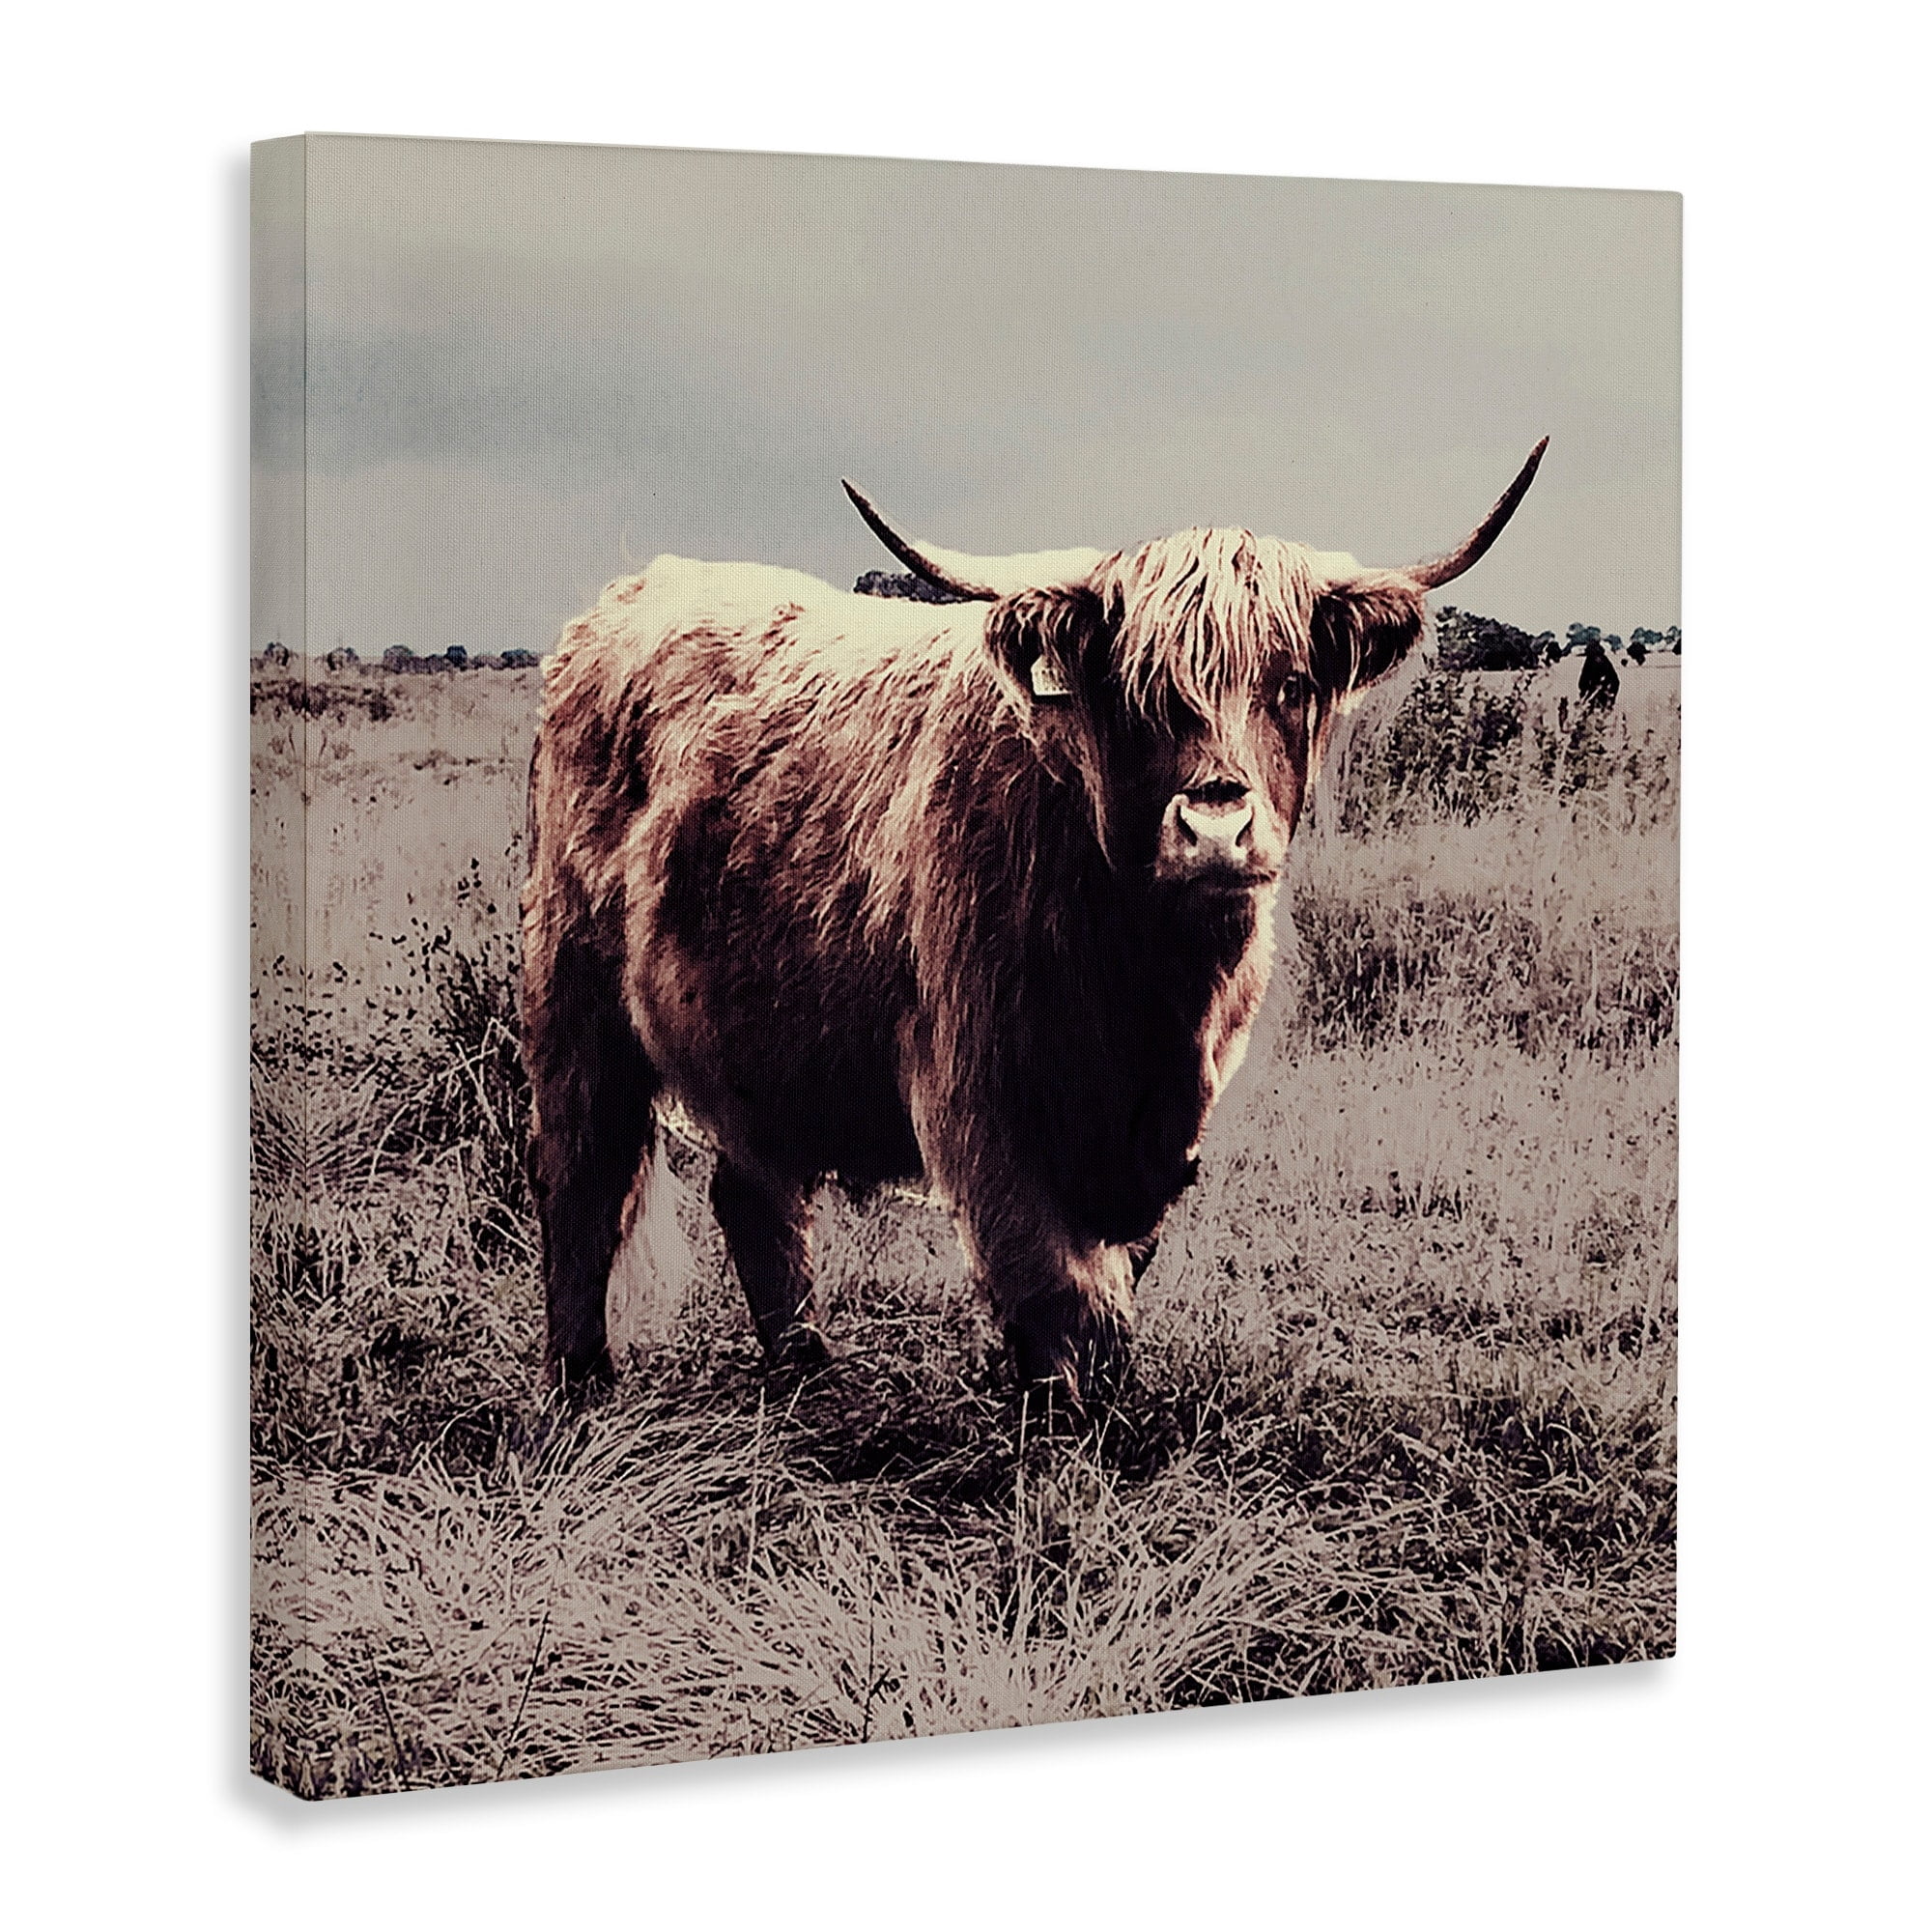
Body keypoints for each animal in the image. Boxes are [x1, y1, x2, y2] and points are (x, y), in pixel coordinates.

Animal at [521, 442, 1547, 1408]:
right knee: (582, 1178)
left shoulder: (1168, 1124)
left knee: (752, 1189)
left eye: (1290, 684)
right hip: (573, 993)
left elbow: (1116, 1273)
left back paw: (807, 1370)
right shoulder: (980, 1093)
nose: (1216, 827)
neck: (1148, 985)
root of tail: (622, 600)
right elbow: (1055, 1286)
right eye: (1138, 694)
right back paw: (583, 1383)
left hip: (752, 1031)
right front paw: (1062, 1424)